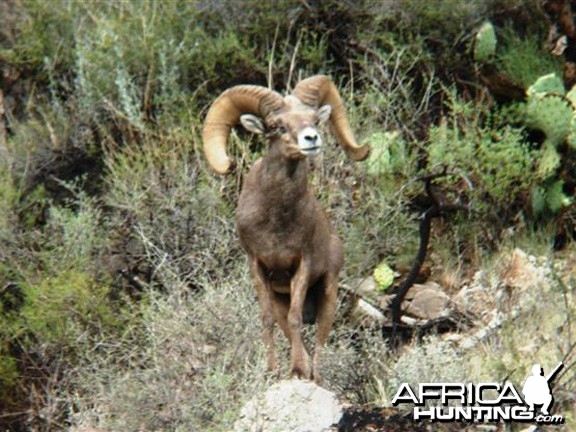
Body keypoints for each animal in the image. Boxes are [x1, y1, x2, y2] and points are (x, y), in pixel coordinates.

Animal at [202, 74, 368, 382]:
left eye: (314, 120)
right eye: (277, 126)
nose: (311, 139)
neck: (276, 225)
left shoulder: (302, 267)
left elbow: (296, 319)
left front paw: (296, 372)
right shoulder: (258, 267)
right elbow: (267, 320)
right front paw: (273, 372)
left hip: (328, 291)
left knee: (319, 335)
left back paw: (313, 375)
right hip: (282, 296)